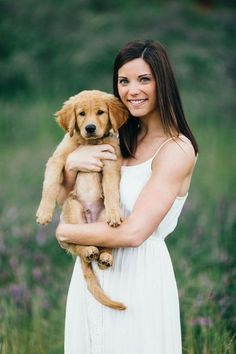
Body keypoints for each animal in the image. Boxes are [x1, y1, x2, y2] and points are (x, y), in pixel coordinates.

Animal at [36, 90, 128, 310]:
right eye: (81, 114)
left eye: (101, 112)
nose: (90, 128)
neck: (90, 143)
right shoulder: (58, 158)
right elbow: (50, 185)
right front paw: (44, 213)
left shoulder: (111, 164)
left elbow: (111, 190)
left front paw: (114, 213)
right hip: (73, 207)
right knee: (78, 243)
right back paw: (88, 252)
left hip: (100, 219)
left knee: (107, 241)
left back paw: (105, 257)